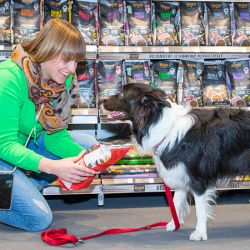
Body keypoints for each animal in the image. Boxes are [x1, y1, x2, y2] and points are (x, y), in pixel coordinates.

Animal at [102, 83, 250, 241]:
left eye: (122, 94)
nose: (102, 101)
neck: (162, 126)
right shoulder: (178, 172)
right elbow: (176, 201)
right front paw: (174, 223)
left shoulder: (198, 179)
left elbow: (200, 210)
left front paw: (199, 232)